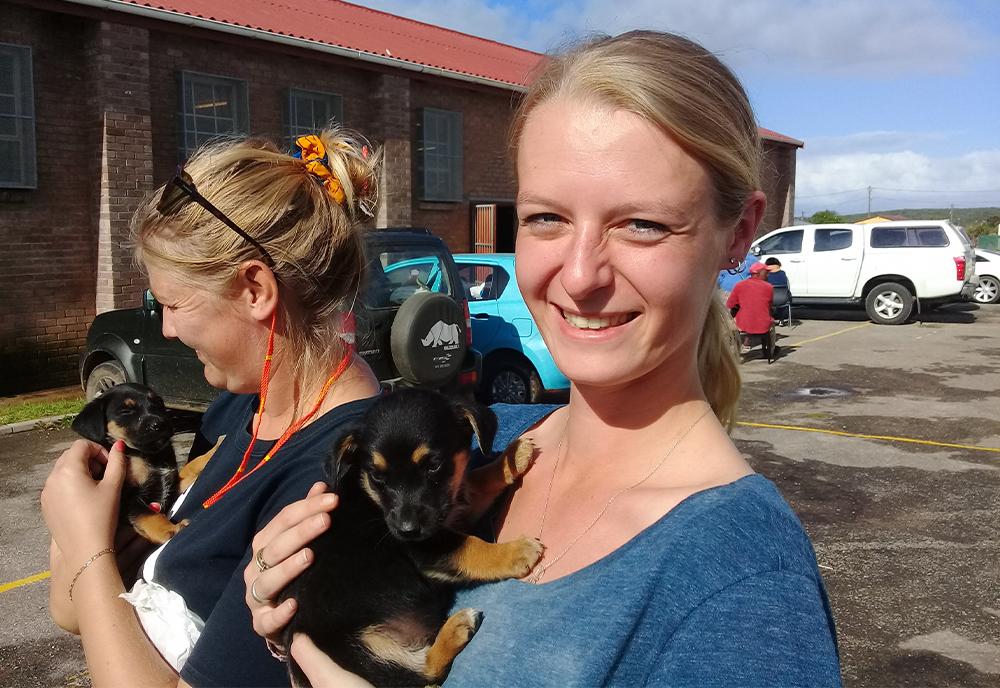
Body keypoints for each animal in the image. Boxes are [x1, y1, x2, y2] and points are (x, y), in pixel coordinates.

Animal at [71, 384, 215, 544]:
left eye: (158, 403)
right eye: (126, 411)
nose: (160, 424)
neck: (147, 454)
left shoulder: (171, 486)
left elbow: (190, 467)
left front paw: (212, 451)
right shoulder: (127, 497)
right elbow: (146, 513)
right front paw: (171, 528)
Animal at [278, 390, 544, 684]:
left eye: (434, 466)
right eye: (376, 475)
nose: (407, 530)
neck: (371, 500)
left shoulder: (447, 511)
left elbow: (475, 483)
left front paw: (514, 457)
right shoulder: (428, 547)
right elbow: (472, 546)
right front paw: (517, 551)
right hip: (359, 649)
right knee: (420, 672)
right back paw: (459, 626)